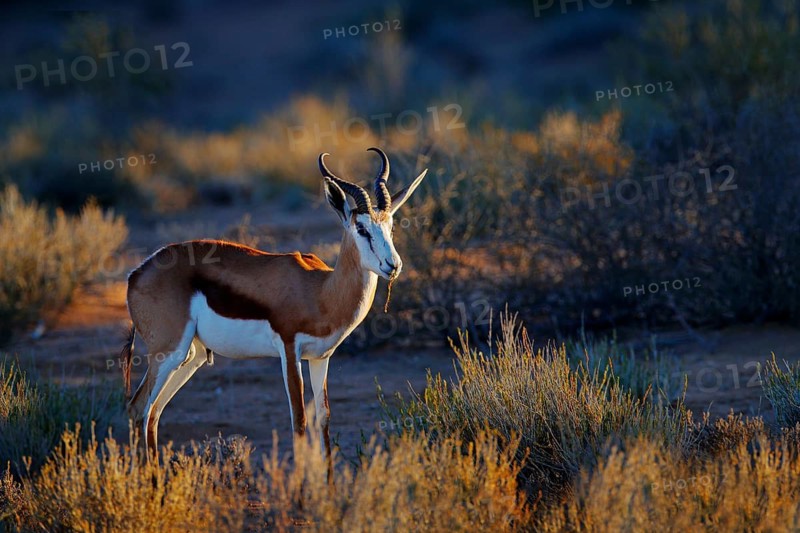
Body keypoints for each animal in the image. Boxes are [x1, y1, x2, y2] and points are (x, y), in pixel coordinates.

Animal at [121, 147, 427, 459]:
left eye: (390, 226)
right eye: (362, 229)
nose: (393, 265)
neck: (321, 292)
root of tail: (137, 273)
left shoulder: (321, 358)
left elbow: (323, 418)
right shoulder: (289, 351)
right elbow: (299, 421)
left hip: (190, 357)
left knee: (153, 413)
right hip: (168, 352)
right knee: (138, 407)